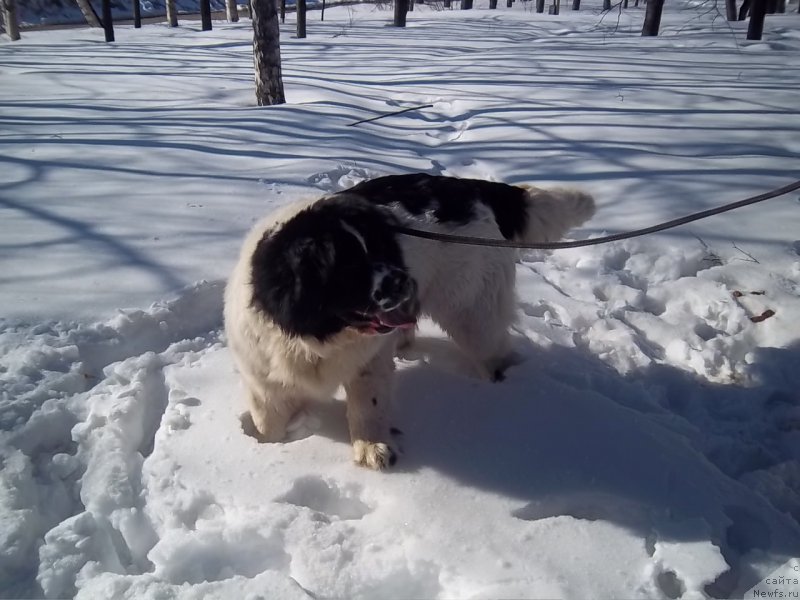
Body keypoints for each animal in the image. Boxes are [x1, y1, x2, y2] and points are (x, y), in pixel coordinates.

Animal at [225, 172, 592, 468]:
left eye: (380, 248)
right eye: (347, 267)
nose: (403, 280)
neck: (317, 335)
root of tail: (472, 187)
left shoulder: (368, 361)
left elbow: (368, 403)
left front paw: (372, 447)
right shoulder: (264, 374)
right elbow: (269, 419)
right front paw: (268, 446)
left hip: (472, 312)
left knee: (494, 351)